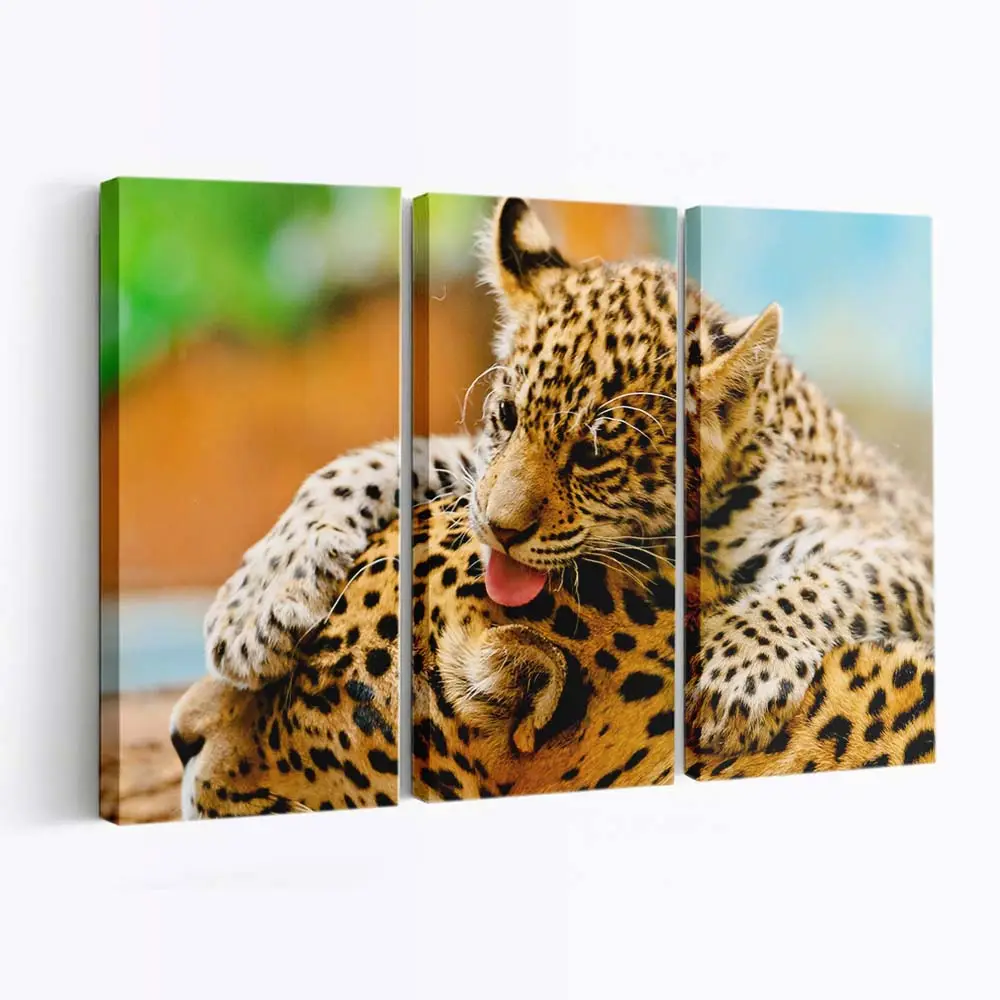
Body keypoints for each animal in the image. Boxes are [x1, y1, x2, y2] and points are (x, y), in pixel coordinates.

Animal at [187, 194, 933, 806]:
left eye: (594, 454)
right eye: (508, 414)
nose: (498, 530)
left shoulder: (906, 548)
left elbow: (840, 578)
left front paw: (740, 669)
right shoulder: (476, 469)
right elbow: (380, 460)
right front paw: (258, 601)